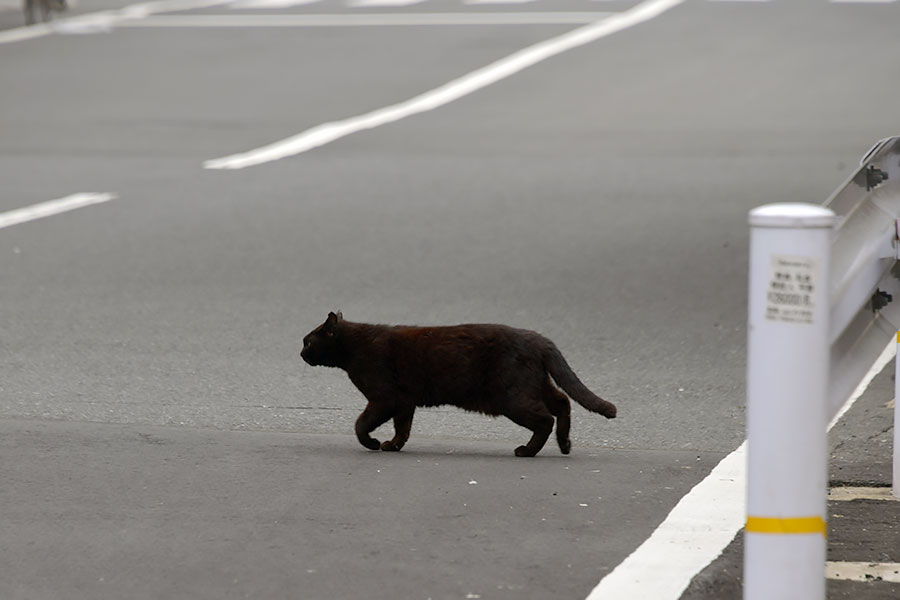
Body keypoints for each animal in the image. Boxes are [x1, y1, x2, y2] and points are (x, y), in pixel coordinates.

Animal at [298, 312, 616, 458]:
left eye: (308, 341)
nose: (300, 353)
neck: (355, 347)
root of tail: (539, 339)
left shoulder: (384, 398)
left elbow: (360, 425)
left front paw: (374, 444)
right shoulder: (404, 402)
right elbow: (403, 427)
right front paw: (393, 445)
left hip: (513, 397)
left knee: (545, 418)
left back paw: (527, 450)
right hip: (535, 386)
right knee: (562, 402)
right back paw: (565, 445)